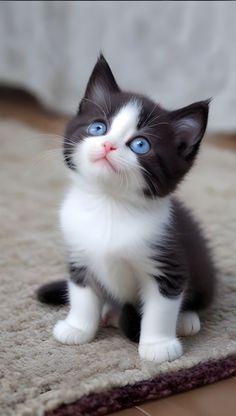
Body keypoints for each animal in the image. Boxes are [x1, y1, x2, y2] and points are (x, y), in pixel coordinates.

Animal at [37, 56, 216, 364]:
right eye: (97, 128)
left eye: (141, 144)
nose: (108, 145)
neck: (110, 204)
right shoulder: (79, 255)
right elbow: (82, 296)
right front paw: (78, 328)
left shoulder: (167, 262)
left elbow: (161, 308)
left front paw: (158, 345)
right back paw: (109, 312)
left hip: (203, 266)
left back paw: (186, 320)